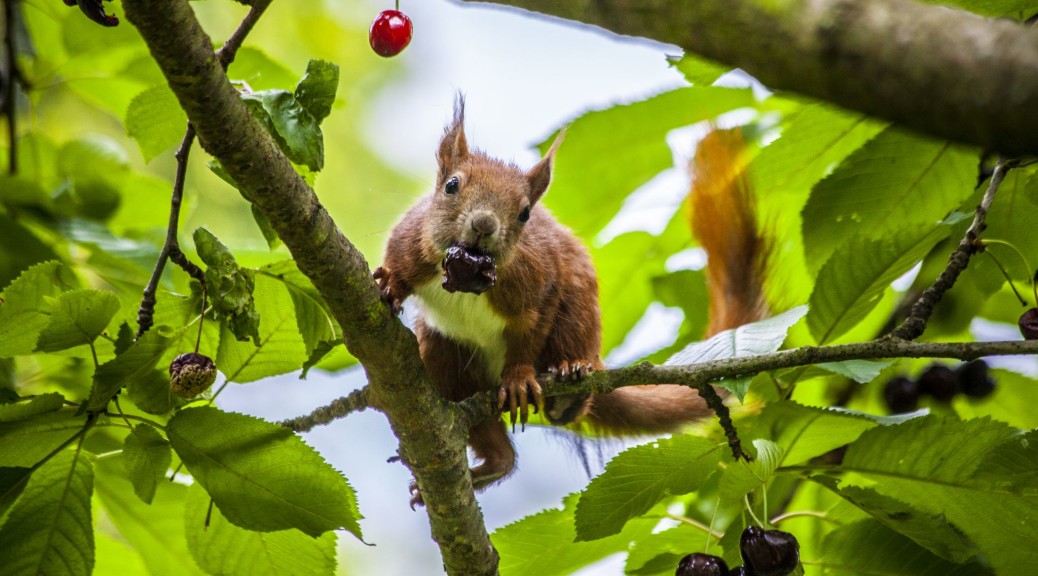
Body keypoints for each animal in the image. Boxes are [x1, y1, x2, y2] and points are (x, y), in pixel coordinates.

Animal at [377, 100, 768, 504]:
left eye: (525, 213)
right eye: (451, 186)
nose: (484, 224)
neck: (468, 276)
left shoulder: (537, 283)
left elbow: (532, 327)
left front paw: (519, 376)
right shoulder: (412, 241)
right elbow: (399, 264)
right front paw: (390, 284)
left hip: (579, 317)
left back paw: (570, 380)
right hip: (445, 356)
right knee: (478, 423)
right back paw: (492, 464)